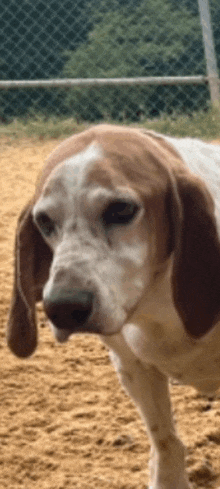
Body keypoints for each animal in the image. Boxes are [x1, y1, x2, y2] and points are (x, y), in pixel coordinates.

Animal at [6, 124, 220, 486]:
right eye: (44, 221)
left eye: (121, 210)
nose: (62, 307)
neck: (157, 303)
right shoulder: (132, 367)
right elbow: (165, 441)